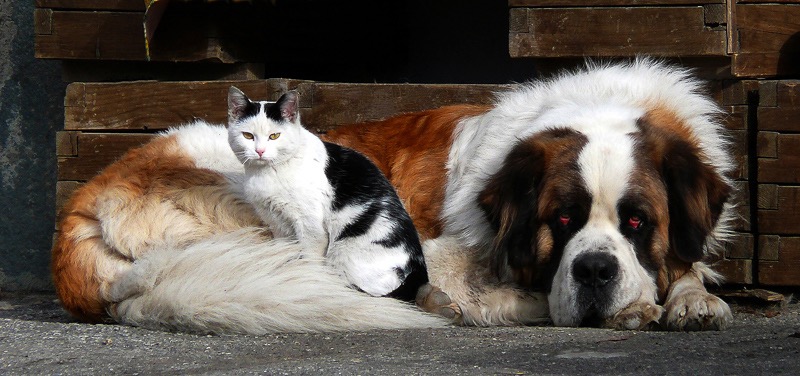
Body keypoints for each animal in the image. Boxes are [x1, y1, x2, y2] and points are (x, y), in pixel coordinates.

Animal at [228, 86, 428, 302]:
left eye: (274, 136)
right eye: (248, 136)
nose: (260, 151)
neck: (267, 173)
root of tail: (419, 269)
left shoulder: (310, 227)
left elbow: (309, 257)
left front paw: (307, 282)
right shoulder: (276, 221)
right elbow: (283, 249)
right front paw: (285, 269)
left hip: (343, 252)